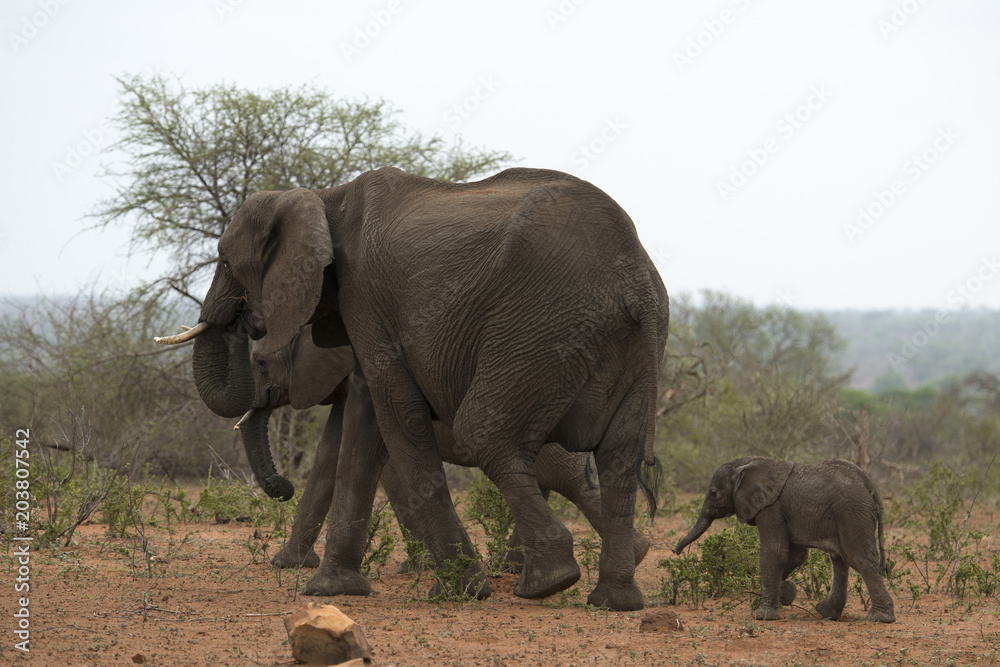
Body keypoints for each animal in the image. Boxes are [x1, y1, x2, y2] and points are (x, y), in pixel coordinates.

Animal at [238, 325, 652, 571]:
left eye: (260, 362)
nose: (282, 486)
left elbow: (384, 472)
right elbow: (329, 458)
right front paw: (288, 564)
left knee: (567, 481)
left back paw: (632, 555)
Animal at [674, 457, 895, 623]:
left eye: (713, 493)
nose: (676, 552)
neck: (748, 462)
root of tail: (870, 486)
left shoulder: (770, 507)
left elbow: (775, 551)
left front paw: (762, 616)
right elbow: (798, 556)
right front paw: (786, 593)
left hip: (852, 513)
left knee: (859, 559)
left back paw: (879, 618)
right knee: (839, 559)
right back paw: (827, 613)